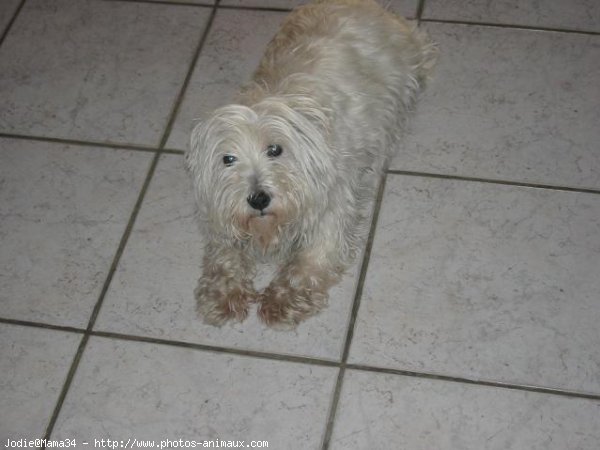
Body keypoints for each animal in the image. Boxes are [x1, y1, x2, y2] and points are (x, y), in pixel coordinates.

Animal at [185, 0, 438, 330]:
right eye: (228, 159)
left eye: (275, 149)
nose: (258, 199)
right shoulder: (221, 211)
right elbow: (224, 254)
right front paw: (222, 295)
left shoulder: (334, 202)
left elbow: (313, 257)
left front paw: (284, 300)